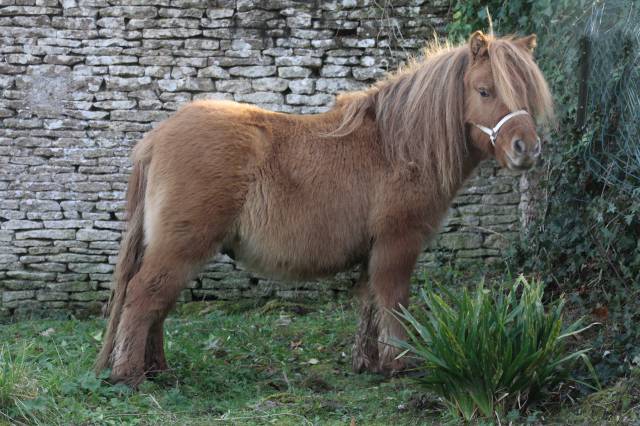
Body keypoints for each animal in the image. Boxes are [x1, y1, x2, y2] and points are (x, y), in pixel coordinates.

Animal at [96, 31, 556, 388]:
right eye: (484, 90)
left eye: (529, 94)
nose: (527, 149)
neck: (397, 147)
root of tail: (157, 137)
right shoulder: (397, 244)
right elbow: (394, 301)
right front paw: (400, 364)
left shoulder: (374, 251)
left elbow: (370, 303)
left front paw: (369, 363)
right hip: (181, 247)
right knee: (143, 298)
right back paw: (131, 376)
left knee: (158, 305)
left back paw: (157, 370)